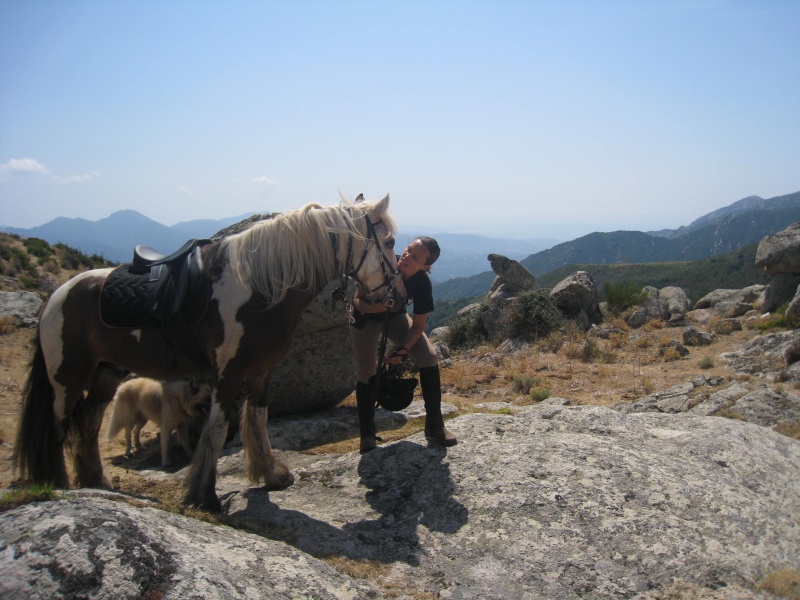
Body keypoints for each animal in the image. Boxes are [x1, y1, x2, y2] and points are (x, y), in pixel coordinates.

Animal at [14, 193, 406, 510]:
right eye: (389, 241)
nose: (399, 296)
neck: (259, 289)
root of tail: (57, 295)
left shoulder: (261, 371)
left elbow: (257, 419)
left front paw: (271, 475)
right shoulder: (227, 376)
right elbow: (216, 432)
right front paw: (204, 495)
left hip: (105, 376)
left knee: (89, 423)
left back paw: (96, 480)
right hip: (66, 381)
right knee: (58, 427)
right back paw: (58, 485)